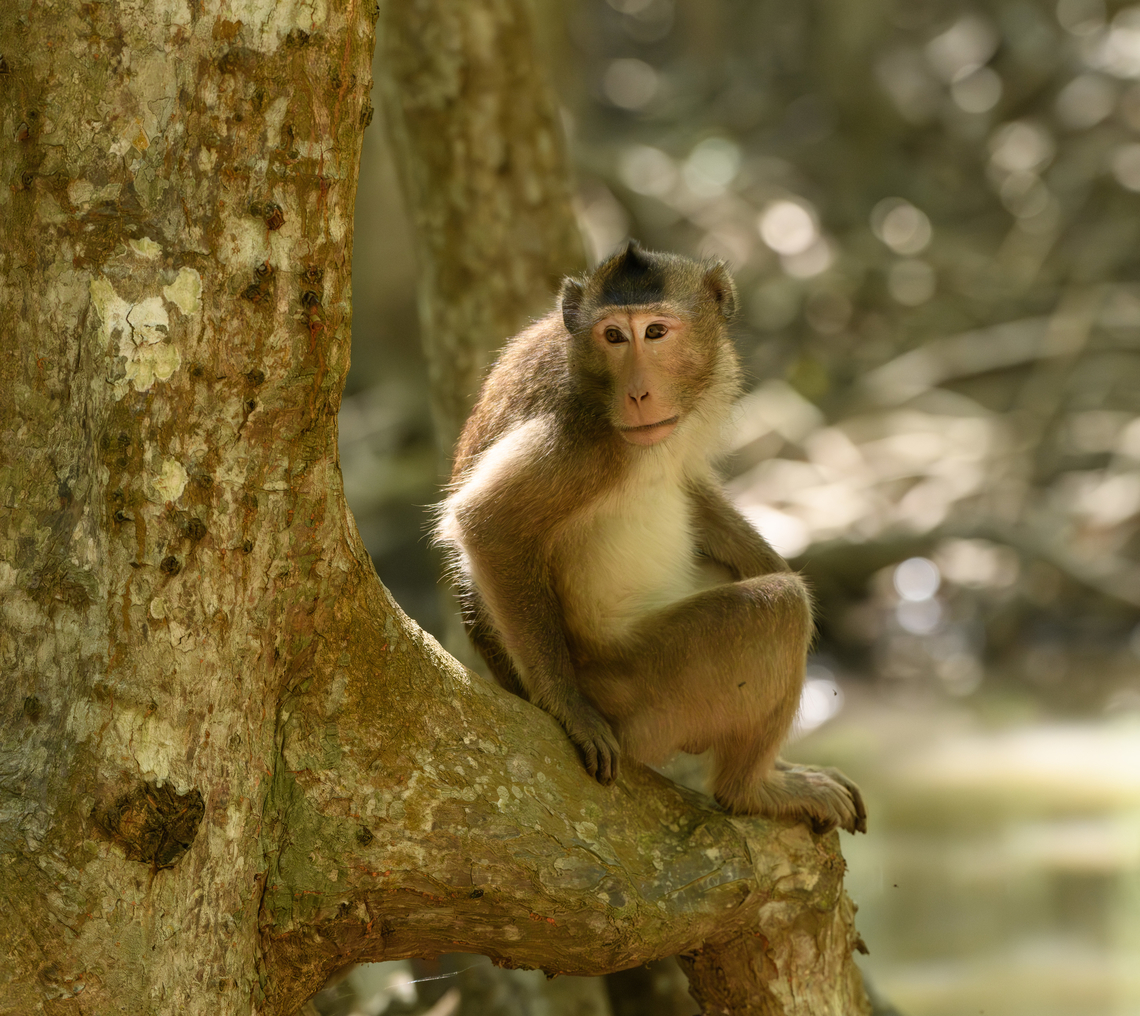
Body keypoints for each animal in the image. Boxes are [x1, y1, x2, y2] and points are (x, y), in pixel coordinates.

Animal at [436, 242, 865, 835]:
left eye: (656, 332)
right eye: (614, 336)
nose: (638, 393)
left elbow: (691, 485)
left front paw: (768, 557)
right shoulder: (582, 437)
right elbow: (487, 522)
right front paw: (565, 706)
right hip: (641, 694)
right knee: (780, 609)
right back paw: (752, 789)